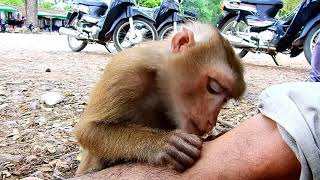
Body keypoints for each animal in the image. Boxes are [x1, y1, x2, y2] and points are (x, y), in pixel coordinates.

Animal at [74, 21, 245, 176]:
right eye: (214, 87)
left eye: (225, 100)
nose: (211, 122)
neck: (159, 84)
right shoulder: (125, 72)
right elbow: (88, 130)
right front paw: (163, 143)